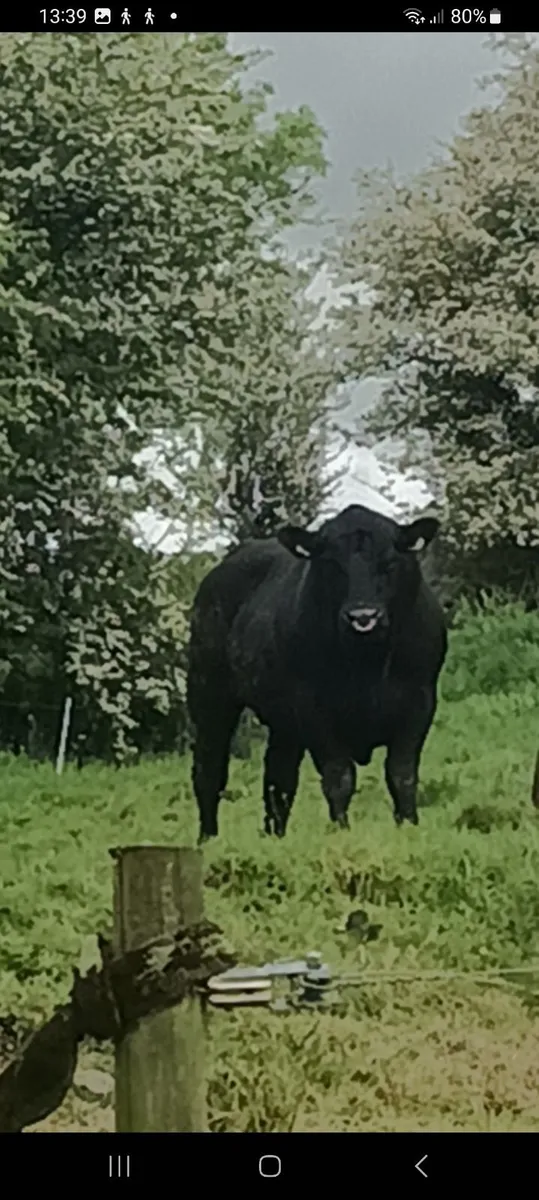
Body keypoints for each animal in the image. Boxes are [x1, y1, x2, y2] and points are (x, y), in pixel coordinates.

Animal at [186, 503, 447, 844]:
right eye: (332, 565)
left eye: (390, 563)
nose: (363, 617)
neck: (369, 666)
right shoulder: (314, 709)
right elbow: (339, 778)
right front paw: (342, 832)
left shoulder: (420, 702)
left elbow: (401, 774)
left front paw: (409, 826)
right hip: (209, 692)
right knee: (209, 768)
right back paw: (208, 839)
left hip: (282, 723)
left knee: (278, 778)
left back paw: (275, 837)